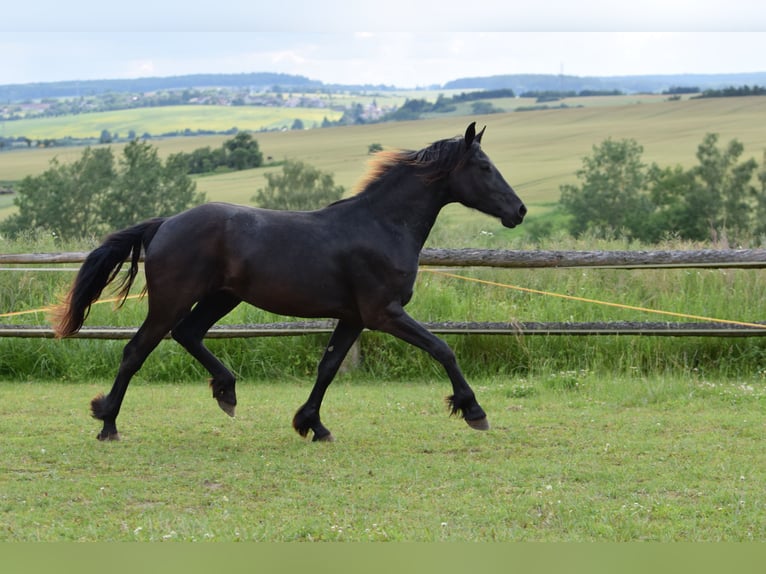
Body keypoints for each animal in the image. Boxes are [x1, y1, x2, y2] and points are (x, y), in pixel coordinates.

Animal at [54, 124, 524, 444]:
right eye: (484, 167)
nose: (518, 211)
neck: (381, 225)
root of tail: (164, 223)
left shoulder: (354, 317)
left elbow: (328, 368)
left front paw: (311, 424)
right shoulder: (384, 313)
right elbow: (443, 349)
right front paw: (473, 410)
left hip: (220, 297)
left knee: (187, 334)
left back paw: (226, 391)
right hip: (172, 300)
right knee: (137, 350)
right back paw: (108, 423)